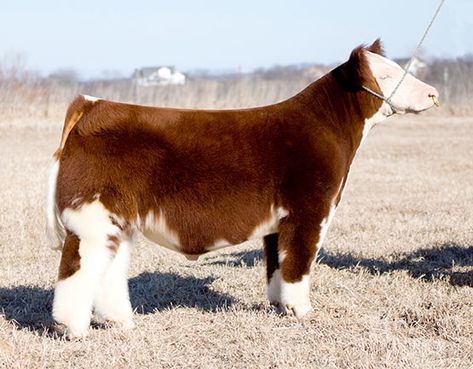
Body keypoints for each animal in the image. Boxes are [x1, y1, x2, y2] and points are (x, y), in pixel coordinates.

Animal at [46, 40, 436, 336]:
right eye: (387, 75)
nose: (433, 94)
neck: (327, 127)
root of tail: (93, 104)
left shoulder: (280, 223)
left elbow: (277, 266)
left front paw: (280, 307)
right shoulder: (310, 210)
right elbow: (299, 264)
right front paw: (303, 311)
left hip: (117, 222)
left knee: (108, 271)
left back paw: (121, 322)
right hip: (93, 217)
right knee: (76, 270)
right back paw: (73, 329)